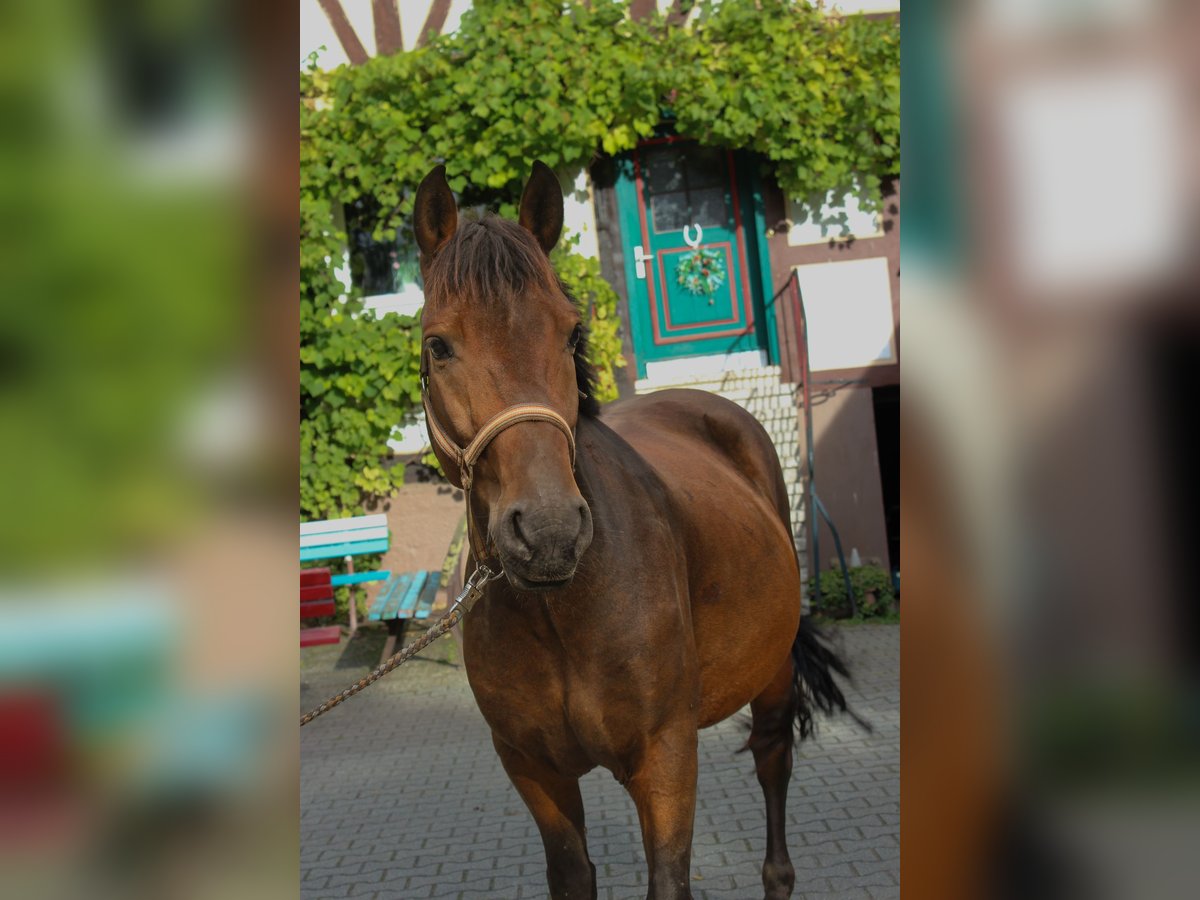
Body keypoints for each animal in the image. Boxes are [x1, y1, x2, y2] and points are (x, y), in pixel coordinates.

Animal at [412, 164, 854, 900]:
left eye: (570, 334)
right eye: (438, 345)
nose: (549, 531)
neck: (562, 614)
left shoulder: (667, 758)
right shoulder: (533, 770)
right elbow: (572, 873)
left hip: (771, 676)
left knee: (772, 766)